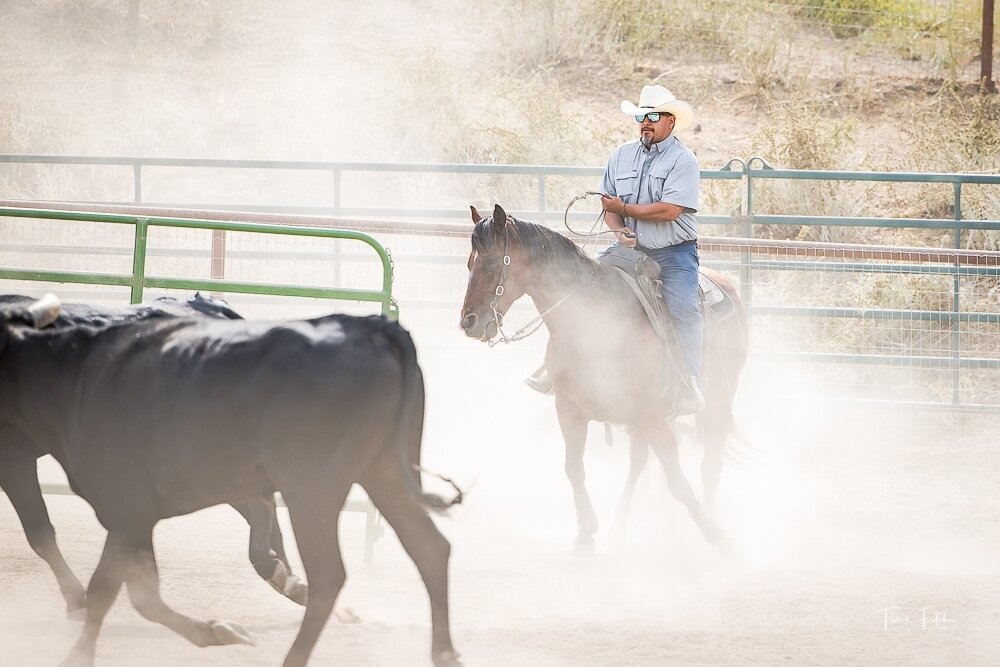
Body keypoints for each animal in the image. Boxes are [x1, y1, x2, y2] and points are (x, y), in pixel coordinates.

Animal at [458, 205, 748, 548]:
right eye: (470, 263)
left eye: (491, 263)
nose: (468, 322)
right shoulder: (569, 409)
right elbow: (574, 469)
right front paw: (586, 531)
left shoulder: (651, 415)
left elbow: (676, 479)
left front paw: (715, 533)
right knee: (638, 461)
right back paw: (620, 525)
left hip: (718, 398)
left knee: (709, 463)